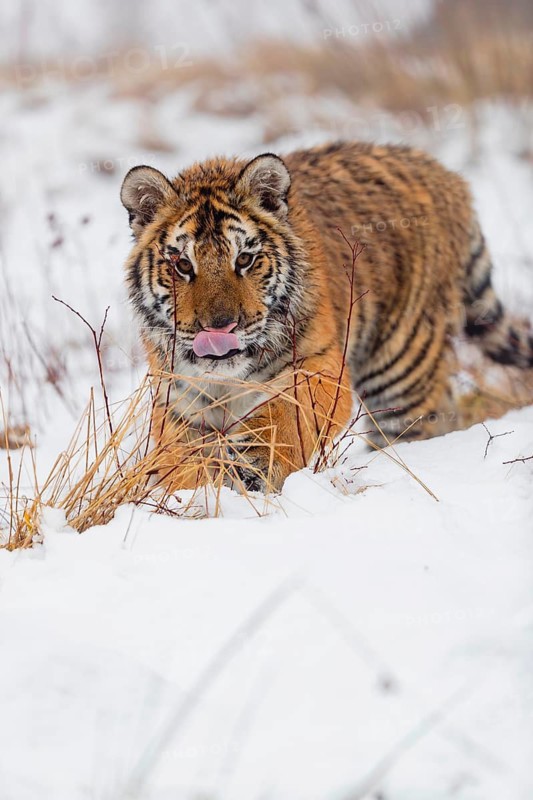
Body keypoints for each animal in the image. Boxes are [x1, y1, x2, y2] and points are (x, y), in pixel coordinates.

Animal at [120, 141, 533, 492]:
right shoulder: (176, 393)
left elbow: (286, 416)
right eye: (182, 265)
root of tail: (445, 174)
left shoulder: (318, 365)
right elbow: (177, 453)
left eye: (245, 259)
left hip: (403, 368)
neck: (229, 381)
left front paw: (254, 460)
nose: (220, 327)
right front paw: (190, 493)